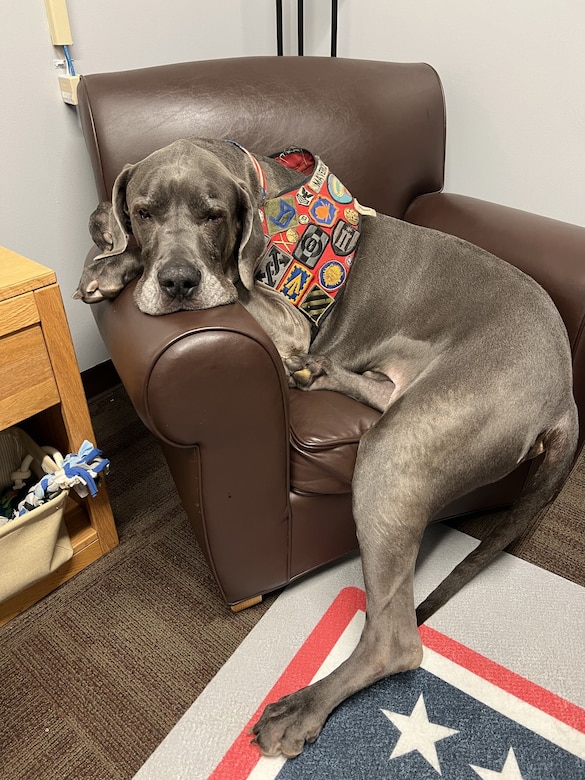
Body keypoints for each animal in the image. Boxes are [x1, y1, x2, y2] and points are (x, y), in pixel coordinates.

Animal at [75, 137, 576, 760]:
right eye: (143, 213)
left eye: (213, 216)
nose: (178, 282)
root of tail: (565, 392)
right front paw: (112, 259)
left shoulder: (285, 316)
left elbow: (238, 286)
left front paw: (115, 265)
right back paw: (316, 373)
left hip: (396, 449)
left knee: (394, 639)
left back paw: (301, 708)